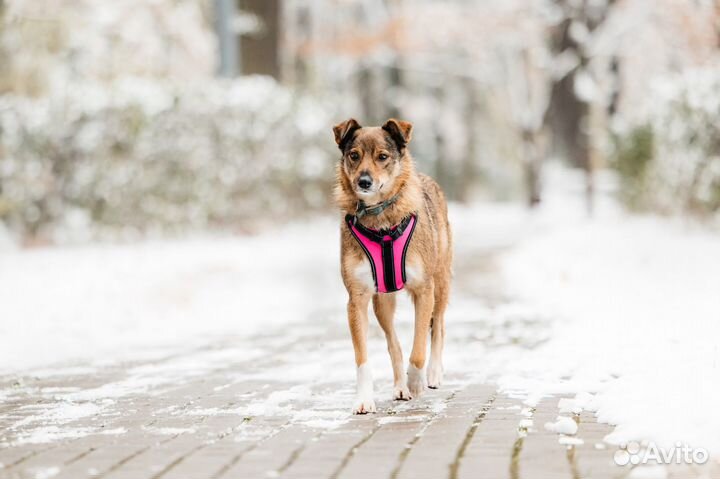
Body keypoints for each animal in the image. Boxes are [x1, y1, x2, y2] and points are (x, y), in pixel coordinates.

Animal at [332, 118, 450, 414]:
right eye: (354, 155)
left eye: (382, 157)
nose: (363, 181)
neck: (380, 219)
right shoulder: (357, 298)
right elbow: (362, 358)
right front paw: (364, 399)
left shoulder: (424, 290)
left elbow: (419, 347)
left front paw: (417, 380)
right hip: (382, 303)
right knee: (393, 343)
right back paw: (400, 386)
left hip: (442, 282)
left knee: (438, 327)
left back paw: (432, 374)